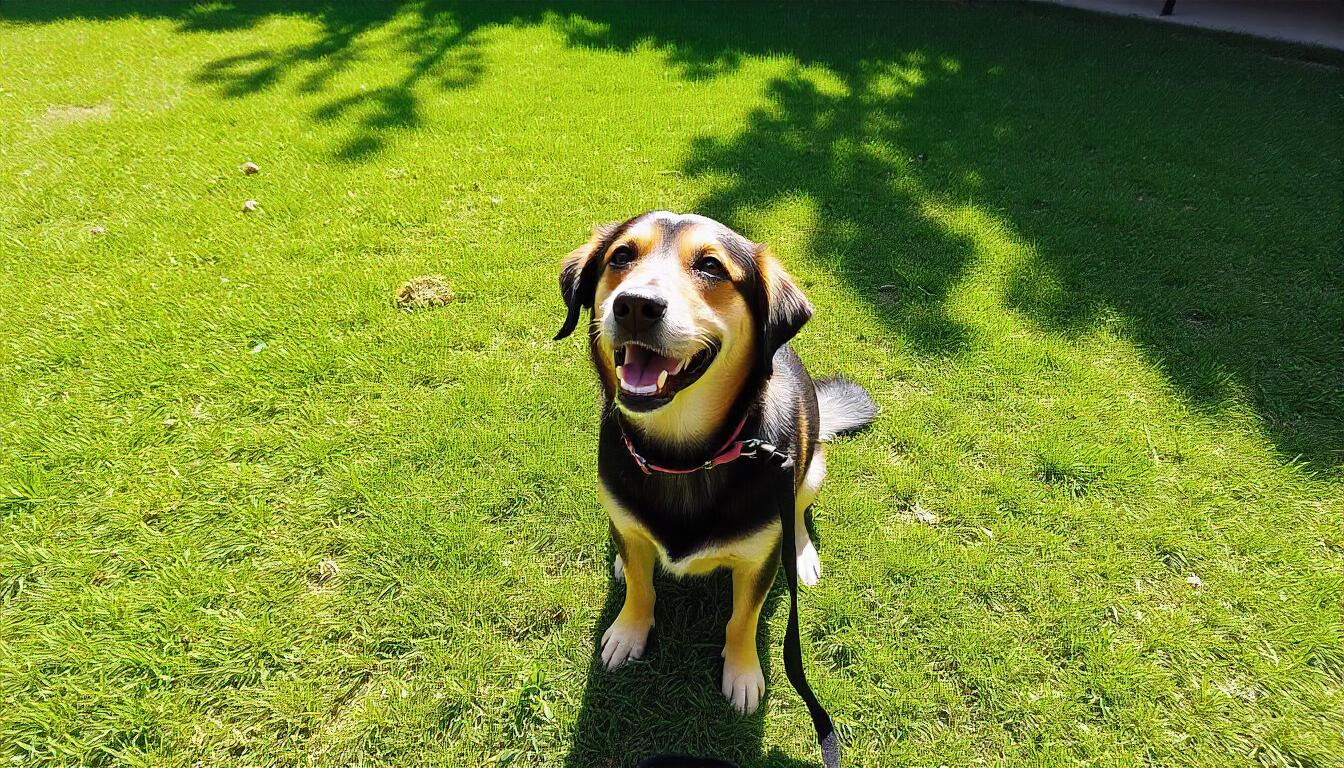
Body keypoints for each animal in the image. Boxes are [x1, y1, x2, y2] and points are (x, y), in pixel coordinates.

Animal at [551, 209, 876, 715]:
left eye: (710, 266)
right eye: (621, 256)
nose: (636, 306)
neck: (684, 457)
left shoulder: (758, 560)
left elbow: (743, 618)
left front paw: (742, 672)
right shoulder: (625, 517)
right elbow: (642, 586)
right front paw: (629, 629)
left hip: (811, 470)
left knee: (798, 513)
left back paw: (801, 554)